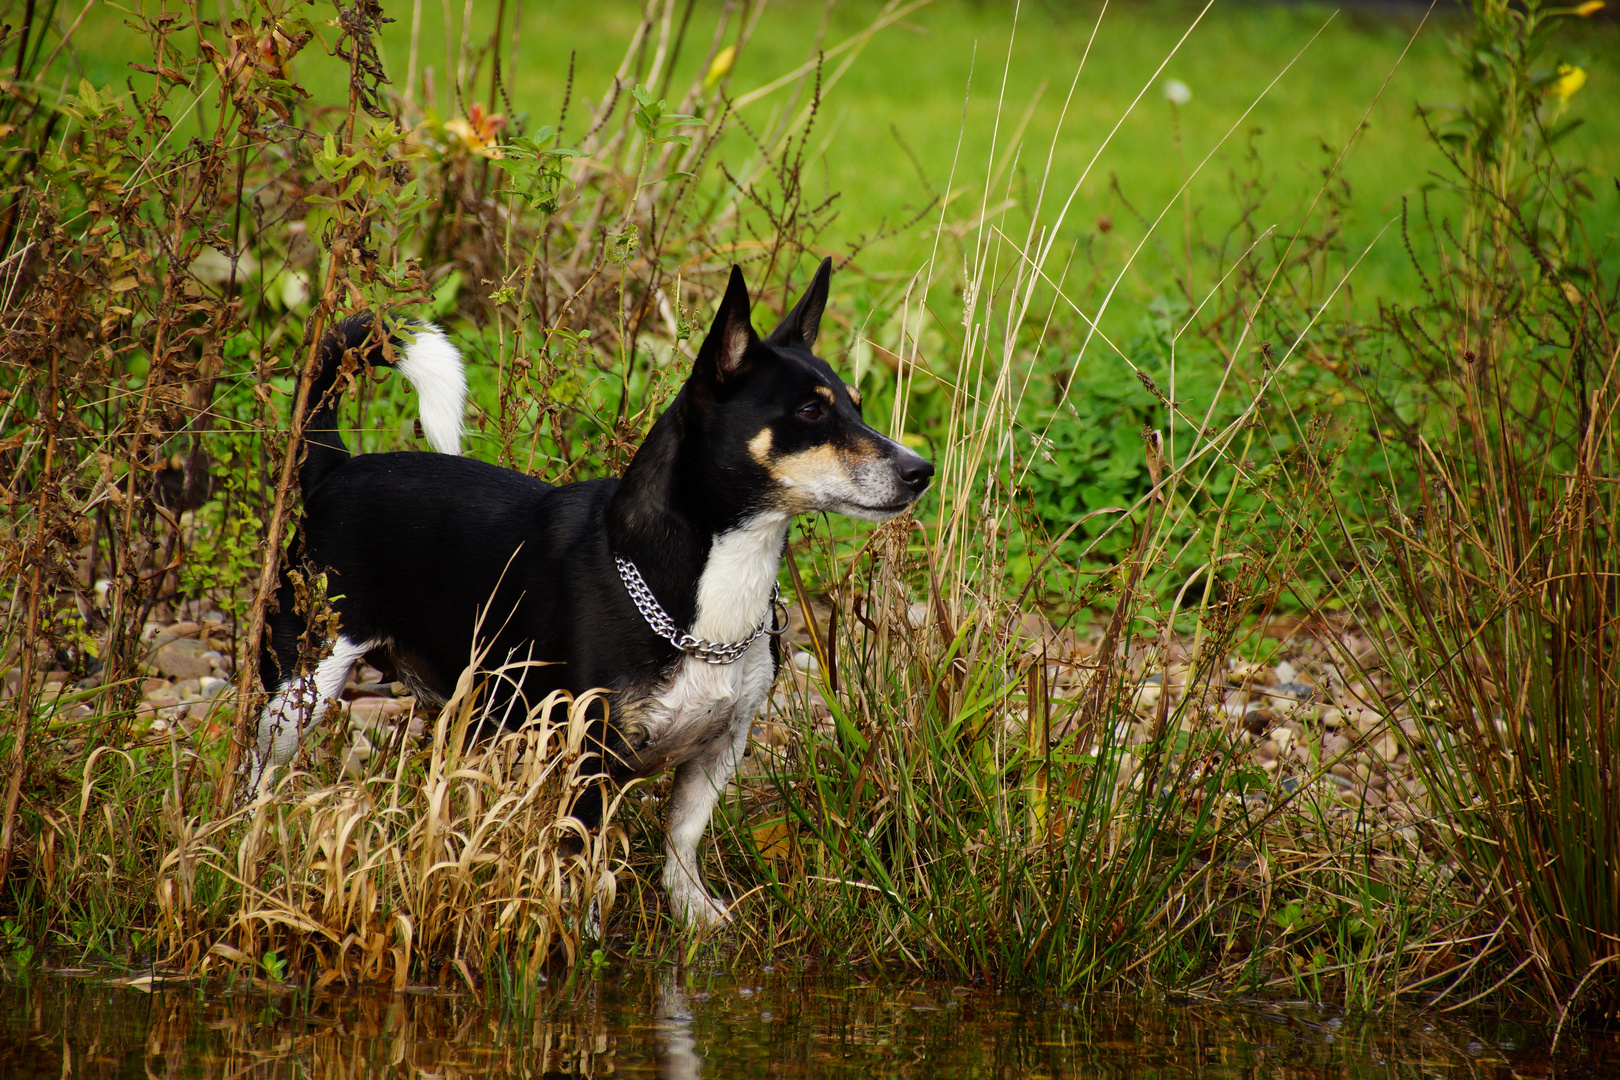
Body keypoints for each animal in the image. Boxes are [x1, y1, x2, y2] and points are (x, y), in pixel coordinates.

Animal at [252, 263, 939, 932]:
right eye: (810, 414)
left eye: (855, 407)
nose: (921, 471)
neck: (707, 590)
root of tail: (335, 466)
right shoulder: (588, 756)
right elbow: (581, 853)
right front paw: (580, 933)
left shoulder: (720, 749)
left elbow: (683, 838)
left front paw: (693, 912)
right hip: (301, 686)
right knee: (261, 773)